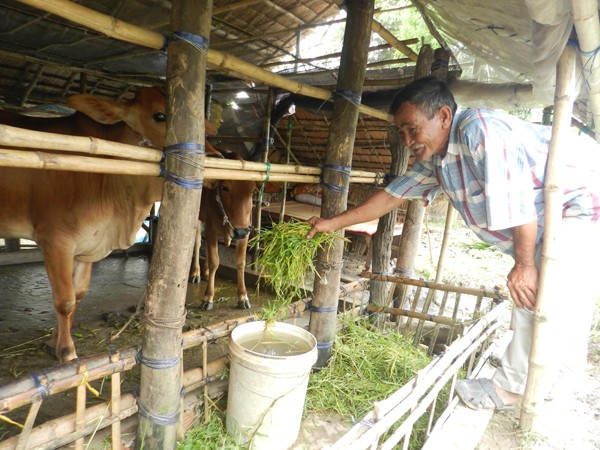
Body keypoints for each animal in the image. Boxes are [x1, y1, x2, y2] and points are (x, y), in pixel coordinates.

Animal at [0, 88, 168, 362]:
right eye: (160, 115)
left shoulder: (88, 244)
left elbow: (77, 295)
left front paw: (54, 341)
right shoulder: (56, 241)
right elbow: (65, 300)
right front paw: (67, 351)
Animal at [190, 149, 255, 312]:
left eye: (252, 191)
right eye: (225, 187)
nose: (239, 232)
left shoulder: (245, 232)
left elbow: (240, 262)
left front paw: (243, 296)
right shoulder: (212, 229)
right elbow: (215, 261)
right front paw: (208, 297)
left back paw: (206, 272)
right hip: (198, 218)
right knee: (198, 243)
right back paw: (196, 272)